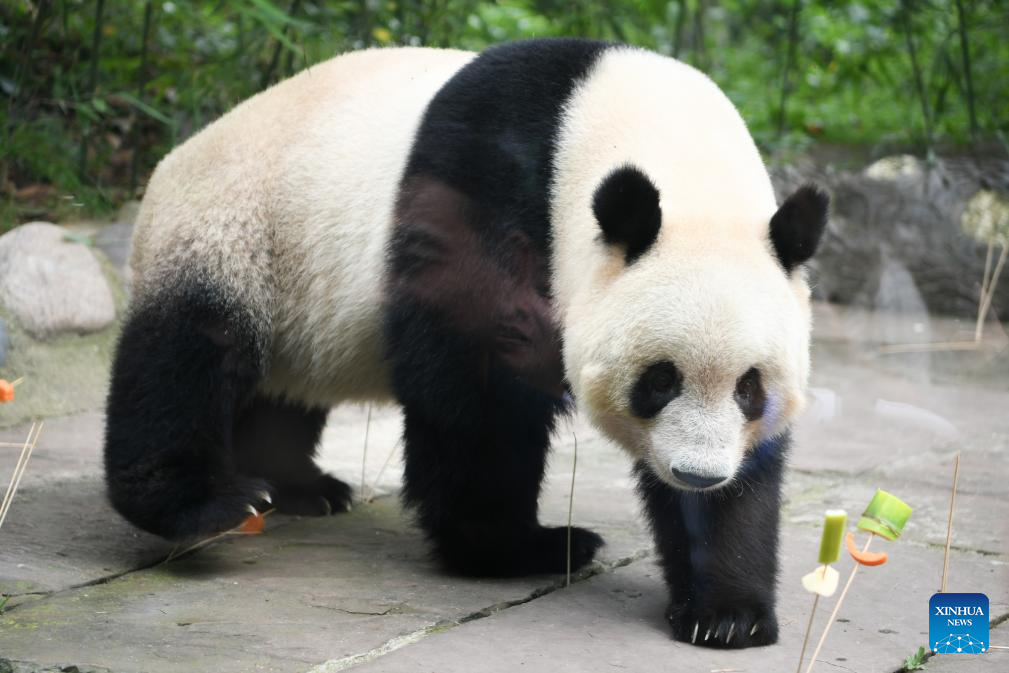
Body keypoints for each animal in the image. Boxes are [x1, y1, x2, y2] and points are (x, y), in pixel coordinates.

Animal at [104, 39, 827, 649]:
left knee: (281, 388)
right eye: (659, 379)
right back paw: (213, 503)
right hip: (236, 231)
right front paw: (518, 547)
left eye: (750, 387)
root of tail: (171, 163)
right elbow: (477, 386)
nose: (697, 474)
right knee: (186, 359)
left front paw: (724, 612)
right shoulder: (495, 186)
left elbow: (751, 475)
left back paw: (303, 487)